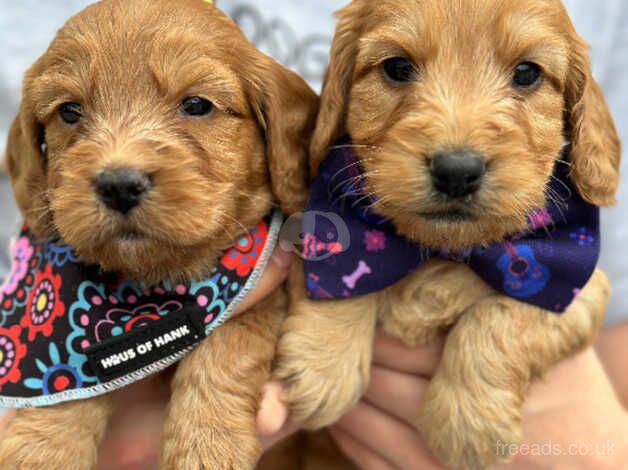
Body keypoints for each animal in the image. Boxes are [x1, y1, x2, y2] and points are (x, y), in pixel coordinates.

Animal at [0, 0, 316, 470]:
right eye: (69, 112)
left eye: (197, 104)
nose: (118, 185)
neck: (150, 289)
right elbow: (62, 389)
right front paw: (40, 453)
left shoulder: (257, 282)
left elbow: (229, 342)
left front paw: (208, 445)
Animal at [278, 0, 620, 470]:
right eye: (397, 67)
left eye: (527, 73)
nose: (456, 172)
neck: (443, 251)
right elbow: (336, 278)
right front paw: (323, 364)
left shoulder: (575, 288)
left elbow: (502, 315)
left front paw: (467, 422)